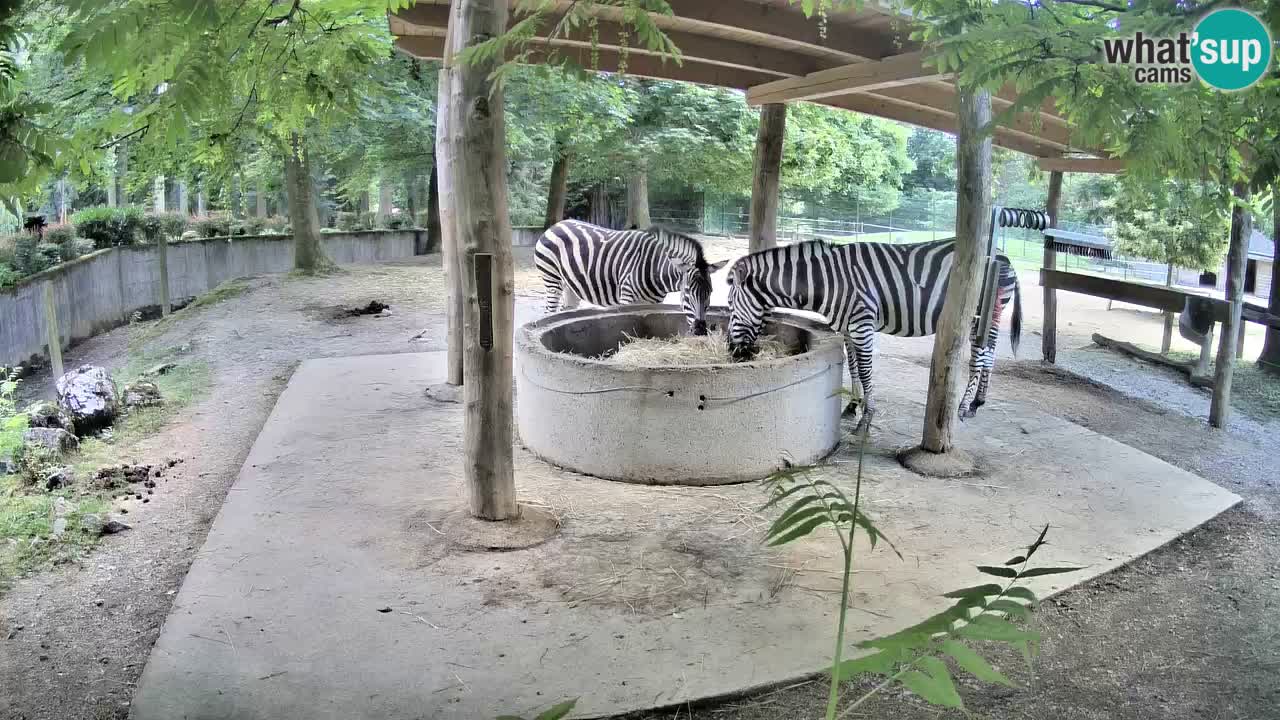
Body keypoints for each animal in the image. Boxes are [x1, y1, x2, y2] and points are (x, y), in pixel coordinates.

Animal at [535, 219, 728, 335]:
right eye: (687, 292)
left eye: (710, 292)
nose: (700, 331)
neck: (655, 265)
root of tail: (557, 224)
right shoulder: (627, 297)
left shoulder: (655, 303)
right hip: (552, 279)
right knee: (549, 310)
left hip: (571, 286)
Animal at [725, 237, 1022, 426]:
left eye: (729, 305)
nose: (731, 351)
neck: (828, 281)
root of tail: (1004, 256)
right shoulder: (847, 328)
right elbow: (854, 367)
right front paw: (852, 407)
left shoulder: (862, 324)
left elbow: (866, 370)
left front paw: (867, 416)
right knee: (990, 354)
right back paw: (976, 403)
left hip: (977, 317)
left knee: (980, 358)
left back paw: (962, 406)